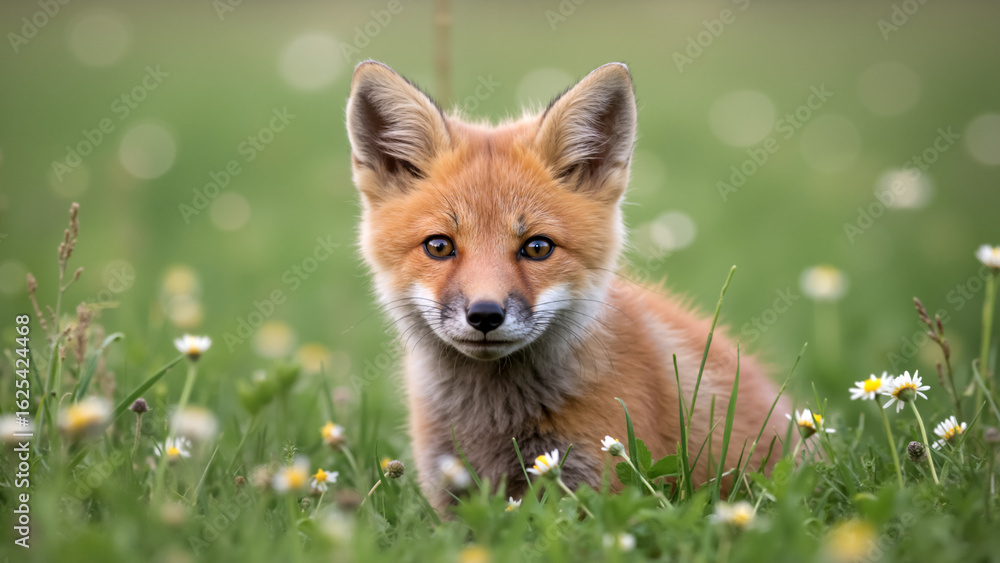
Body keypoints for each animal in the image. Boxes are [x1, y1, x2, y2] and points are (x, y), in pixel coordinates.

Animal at [345, 60, 789, 509]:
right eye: (439, 246)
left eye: (537, 247)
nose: (485, 315)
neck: (493, 420)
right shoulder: (450, 488)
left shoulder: (601, 484)